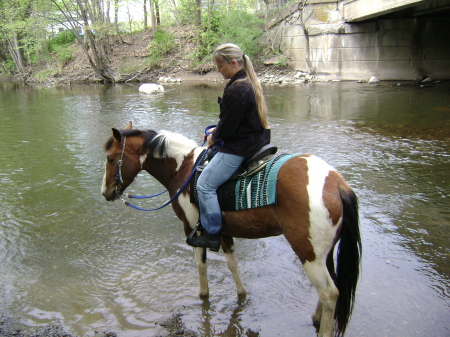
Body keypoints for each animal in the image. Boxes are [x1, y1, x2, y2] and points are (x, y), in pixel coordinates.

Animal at [102, 121, 362, 336]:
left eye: (112, 159)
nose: (105, 193)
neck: (183, 169)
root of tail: (337, 184)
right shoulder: (222, 232)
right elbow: (233, 265)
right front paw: (242, 296)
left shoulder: (192, 229)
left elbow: (201, 268)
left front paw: (203, 297)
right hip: (322, 253)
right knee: (331, 287)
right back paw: (316, 318)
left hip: (308, 252)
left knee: (330, 293)